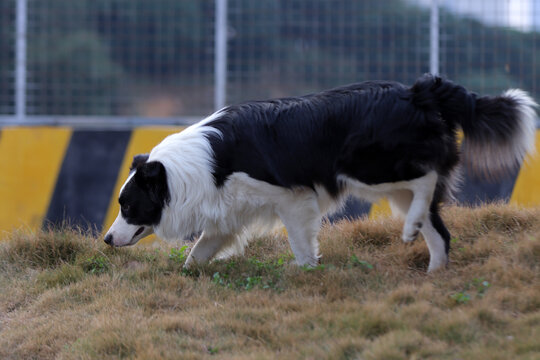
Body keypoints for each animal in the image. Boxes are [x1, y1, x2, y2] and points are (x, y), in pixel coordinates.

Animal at [104, 74, 536, 272]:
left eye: (128, 206)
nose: (106, 239)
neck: (195, 169)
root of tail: (418, 91)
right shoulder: (230, 211)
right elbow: (198, 252)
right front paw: (187, 274)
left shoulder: (292, 197)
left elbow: (299, 242)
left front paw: (307, 272)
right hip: (388, 182)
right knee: (438, 230)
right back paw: (432, 270)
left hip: (366, 167)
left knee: (426, 179)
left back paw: (412, 231)